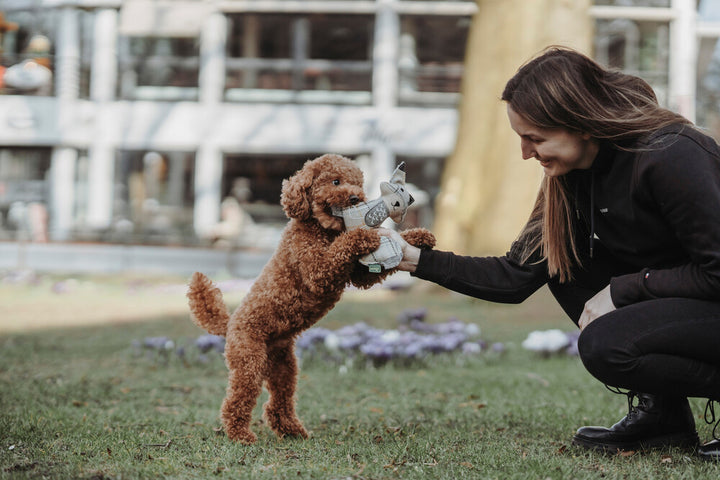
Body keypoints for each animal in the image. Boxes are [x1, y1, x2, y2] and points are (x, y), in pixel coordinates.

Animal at [186, 154, 434, 442]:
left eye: (357, 183)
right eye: (336, 181)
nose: (355, 198)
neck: (321, 228)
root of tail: (229, 323)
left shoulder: (358, 275)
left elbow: (372, 267)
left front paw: (418, 237)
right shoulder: (317, 269)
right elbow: (341, 249)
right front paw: (361, 234)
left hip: (283, 365)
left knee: (279, 400)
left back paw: (291, 430)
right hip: (249, 358)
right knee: (238, 397)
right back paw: (239, 433)